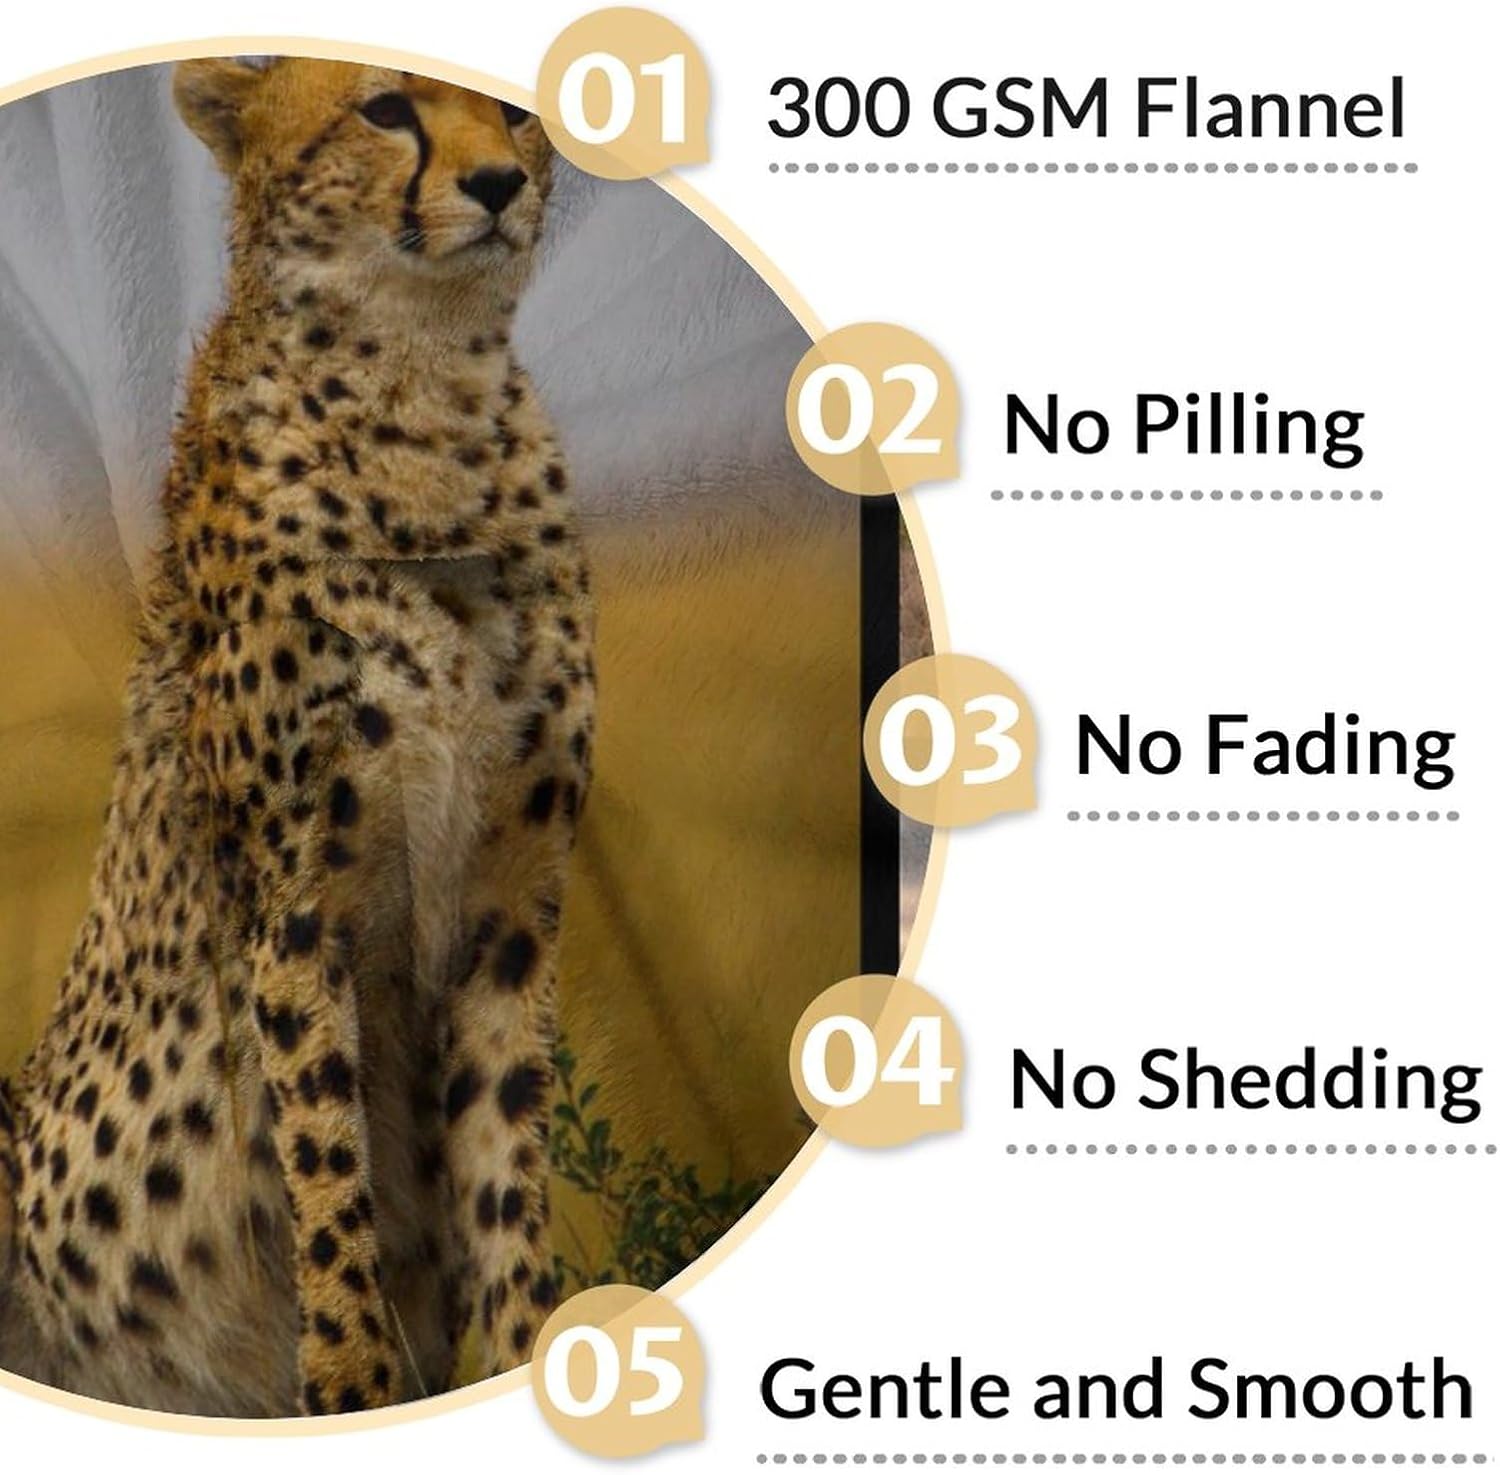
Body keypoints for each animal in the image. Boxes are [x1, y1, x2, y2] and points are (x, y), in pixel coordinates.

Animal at [0, 57, 594, 1417]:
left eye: (518, 107)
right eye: (386, 109)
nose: (500, 183)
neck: (425, 392)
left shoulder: (511, 903)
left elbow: (503, 1164)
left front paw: (527, 1356)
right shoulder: (296, 907)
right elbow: (325, 1152)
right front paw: (355, 1374)